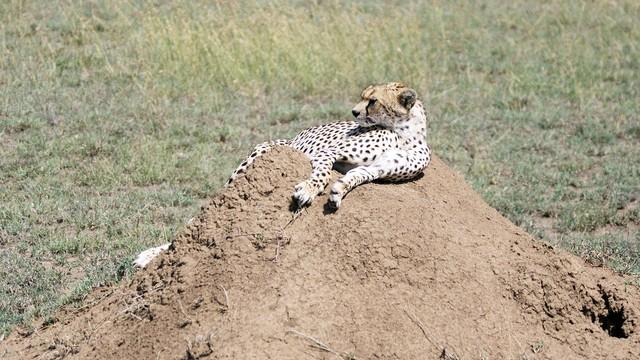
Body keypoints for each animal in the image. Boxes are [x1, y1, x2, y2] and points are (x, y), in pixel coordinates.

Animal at [134, 82, 430, 268]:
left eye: (373, 100)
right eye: (364, 97)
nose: (354, 112)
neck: (403, 132)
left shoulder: (375, 169)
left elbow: (354, 177)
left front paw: (338, 193)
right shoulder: (326, 154)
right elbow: (322, 173)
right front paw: (308, 190)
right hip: (264, 149)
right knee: (200, 218)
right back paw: (149, 256)